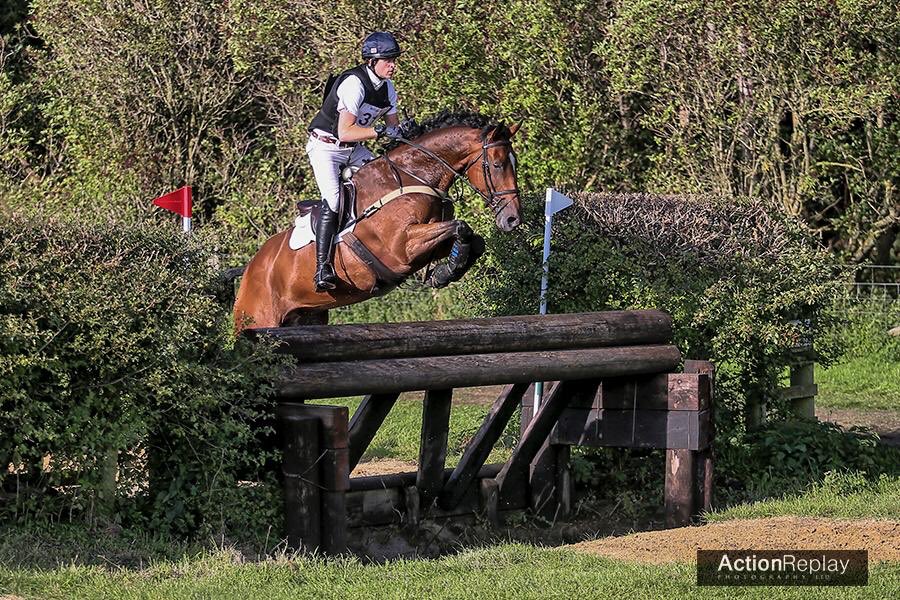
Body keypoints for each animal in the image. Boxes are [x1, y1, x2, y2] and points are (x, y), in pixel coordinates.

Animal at [233, 111, 522, 331]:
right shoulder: (401, 248)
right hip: (258, 319)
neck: (414, 176)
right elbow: (461, 226)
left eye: (515, 163)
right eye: (497, 164)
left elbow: (472, 238)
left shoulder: (428, 244)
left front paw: (445, 271)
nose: (512, 219)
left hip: (307, 317)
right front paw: (446, 271)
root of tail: (250, 269)